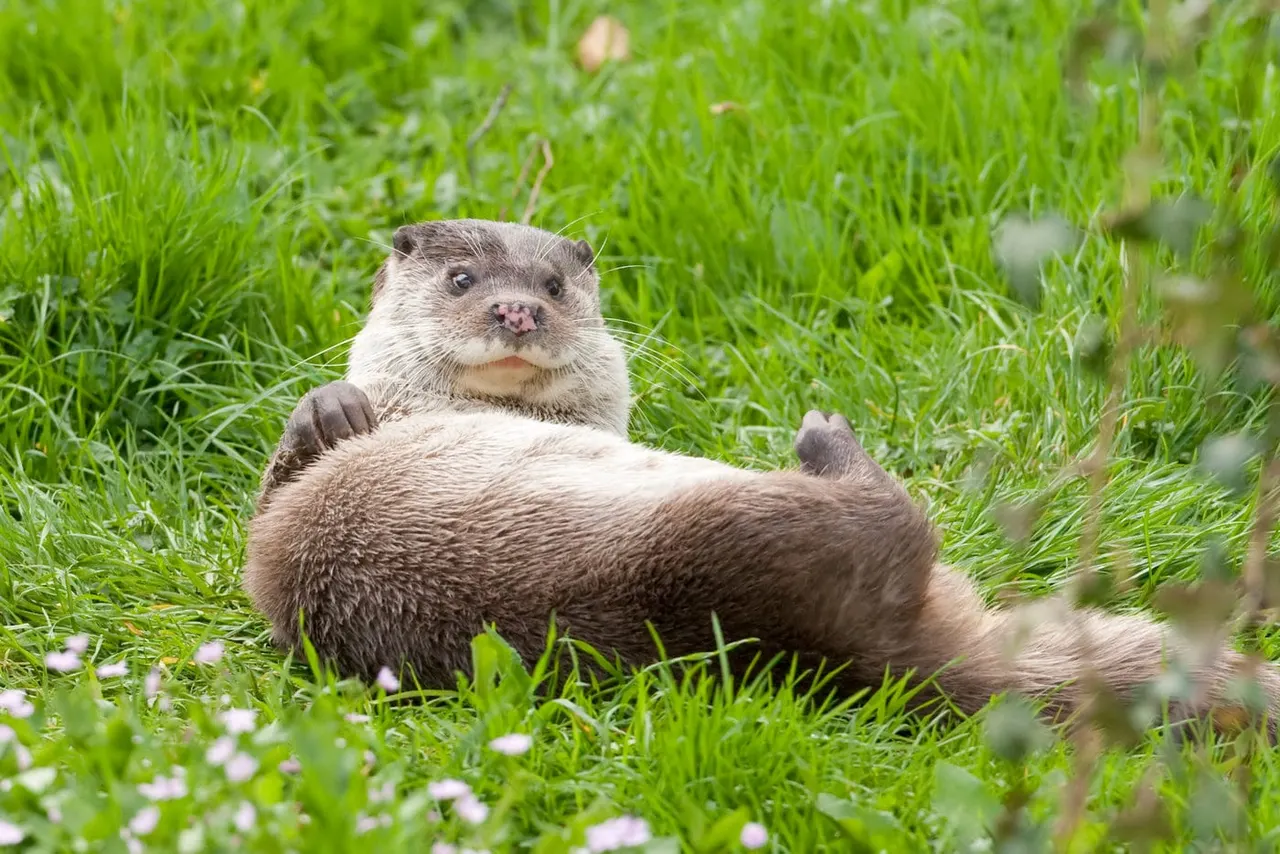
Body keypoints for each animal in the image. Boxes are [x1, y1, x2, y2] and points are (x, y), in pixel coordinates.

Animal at [242, 217, 1280, 735]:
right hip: (721, 541)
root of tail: (890, 663)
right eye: (463, 280)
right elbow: (266, 513)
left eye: (554, 285)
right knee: (890, 527)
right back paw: (828, 443)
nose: (515, 312)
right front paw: (333, 411)